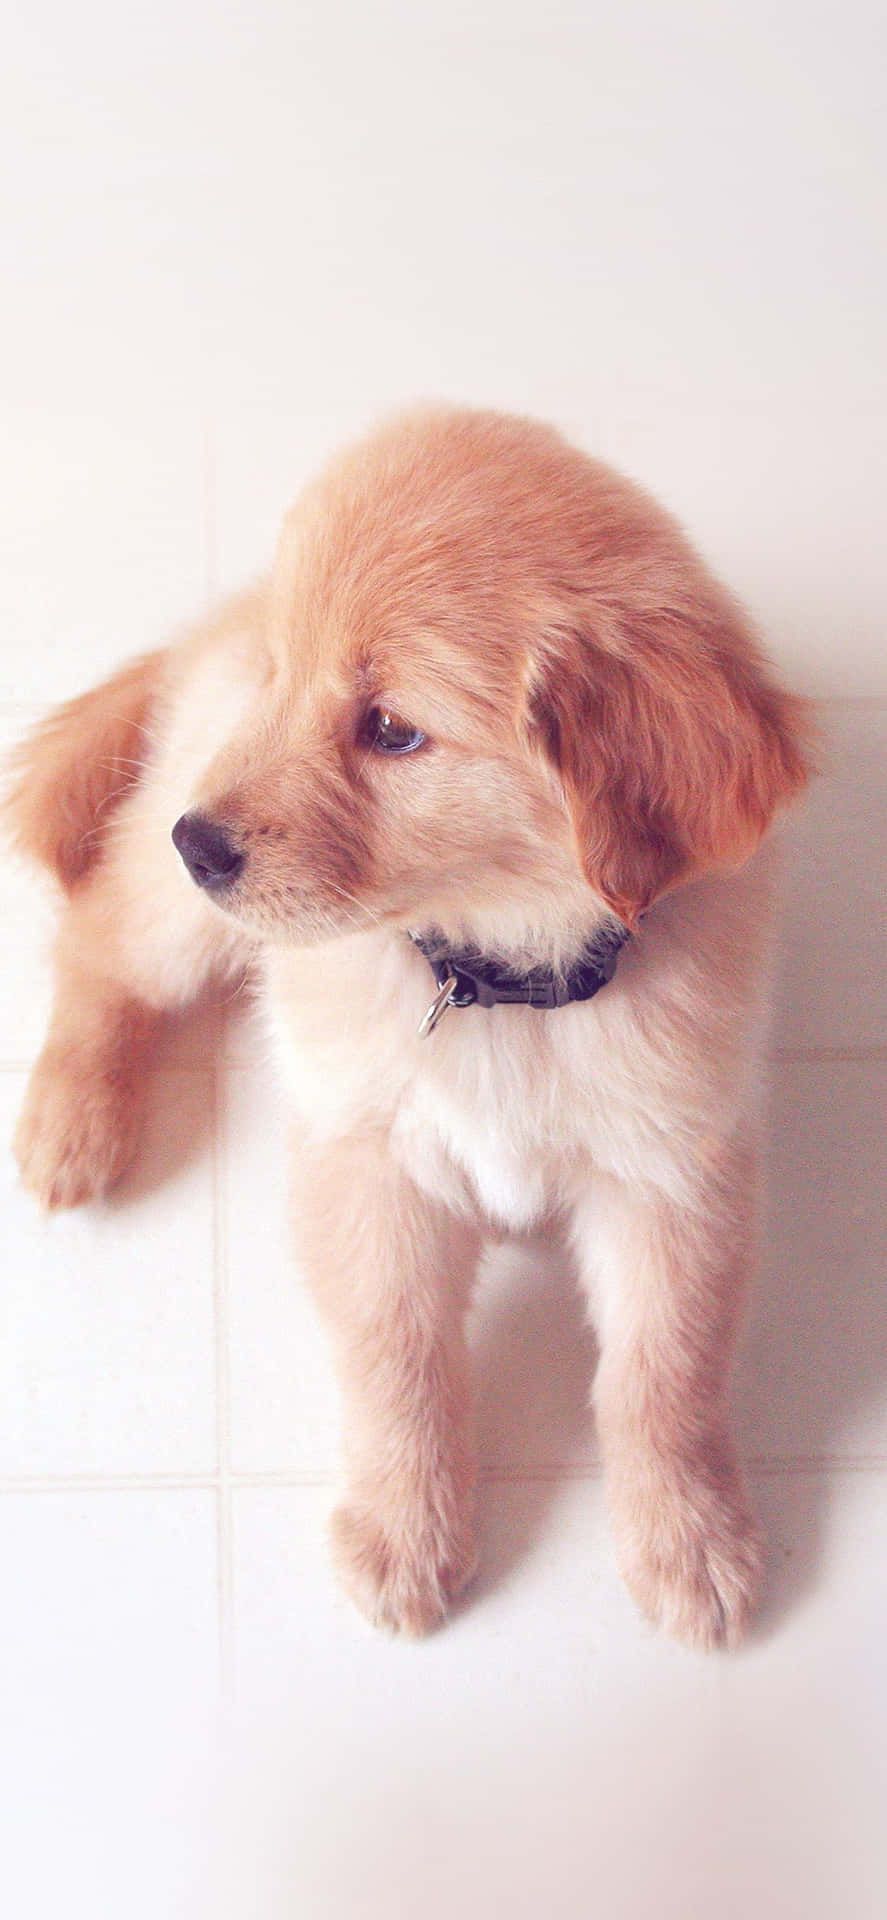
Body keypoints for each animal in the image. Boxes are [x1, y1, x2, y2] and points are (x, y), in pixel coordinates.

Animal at [6, 405, 810, 1651]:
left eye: (390, 729)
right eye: (287, 676)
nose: (201, 843)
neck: (498, 979)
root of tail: (223, 616)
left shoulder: (675, 1173)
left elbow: (662, 1373)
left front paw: (689, 1539)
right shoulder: (369, 1161)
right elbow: (400, 1359)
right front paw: (404, 1530)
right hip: (176, 907)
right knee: (98, 943)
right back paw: (71, 1122)